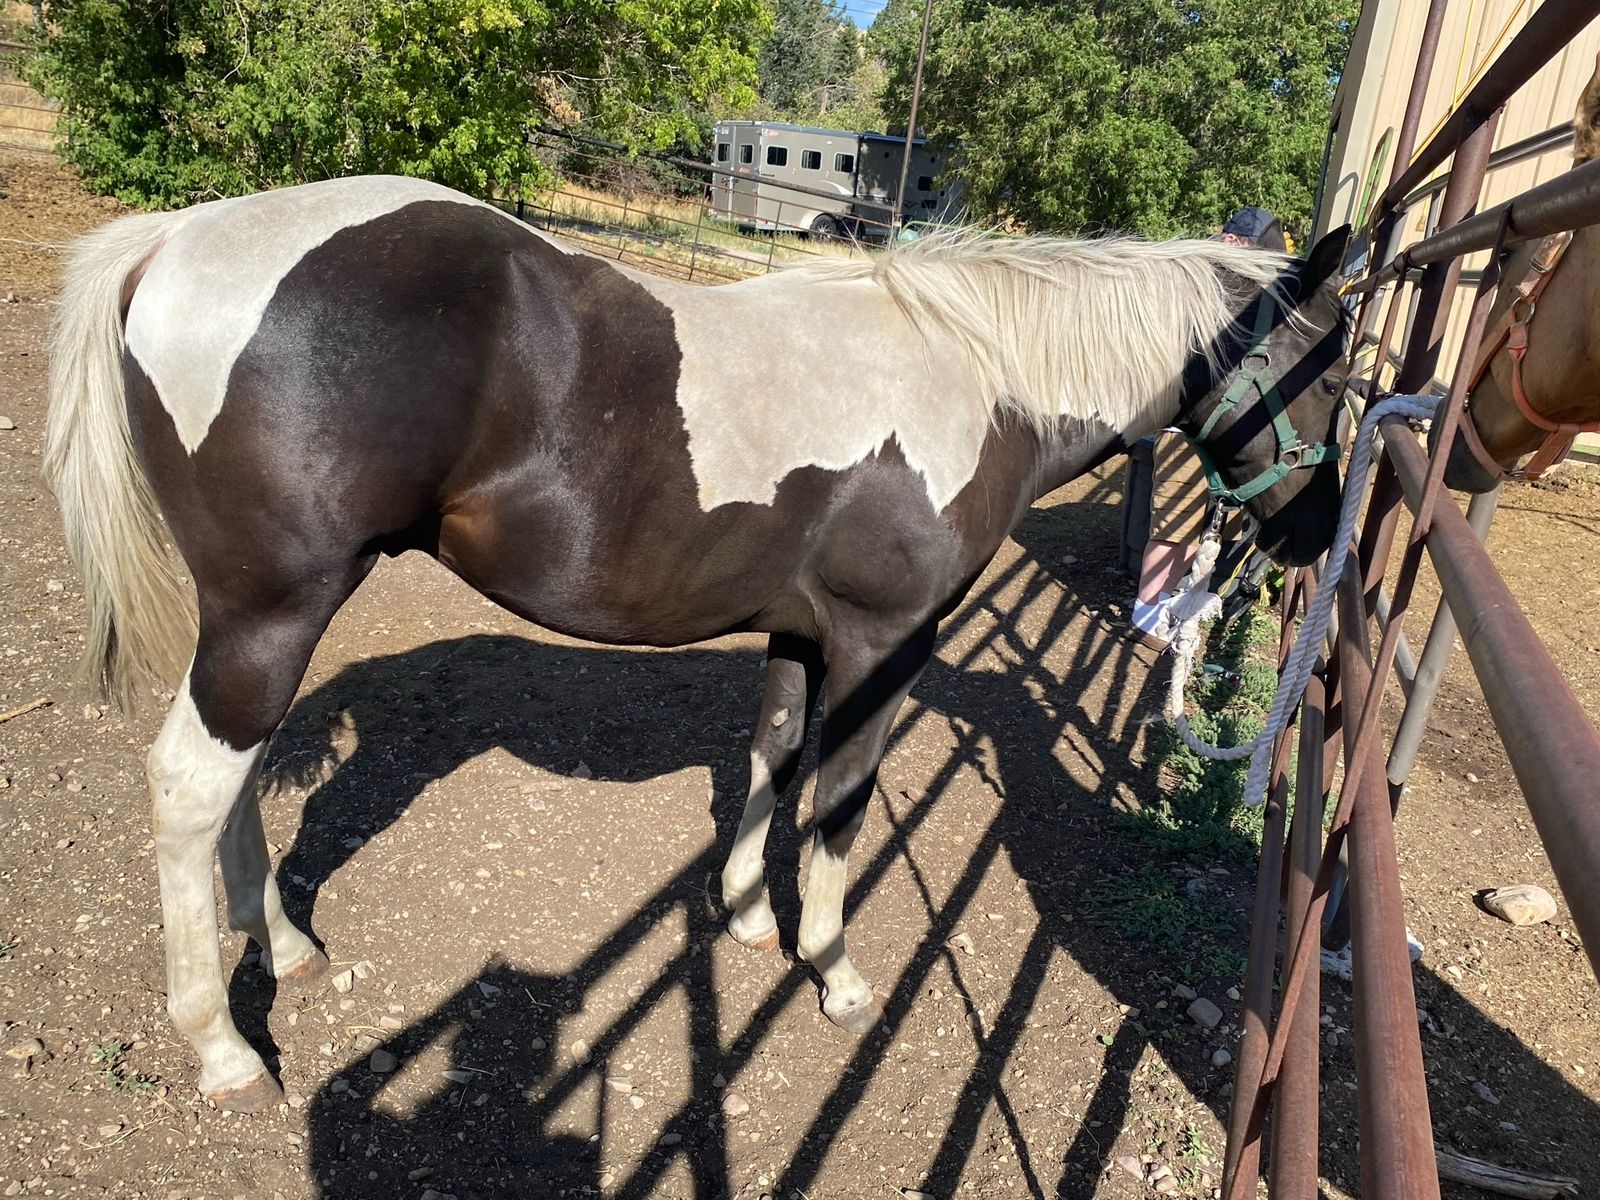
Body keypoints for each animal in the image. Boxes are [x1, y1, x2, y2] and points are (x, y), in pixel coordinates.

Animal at [43, 174, 1352, 1110]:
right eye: (1333, 371)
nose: (1317, 530)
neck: (972, 374)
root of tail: (170, 241)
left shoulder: (798, 632)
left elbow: (771, 754)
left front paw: (747, 915)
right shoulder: (883, 644)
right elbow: (840, 801)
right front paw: (832, 968)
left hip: (264, 620)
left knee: (241, 777)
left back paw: (287, 947)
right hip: (272, 611)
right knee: (189, 784)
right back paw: (223, 1050)